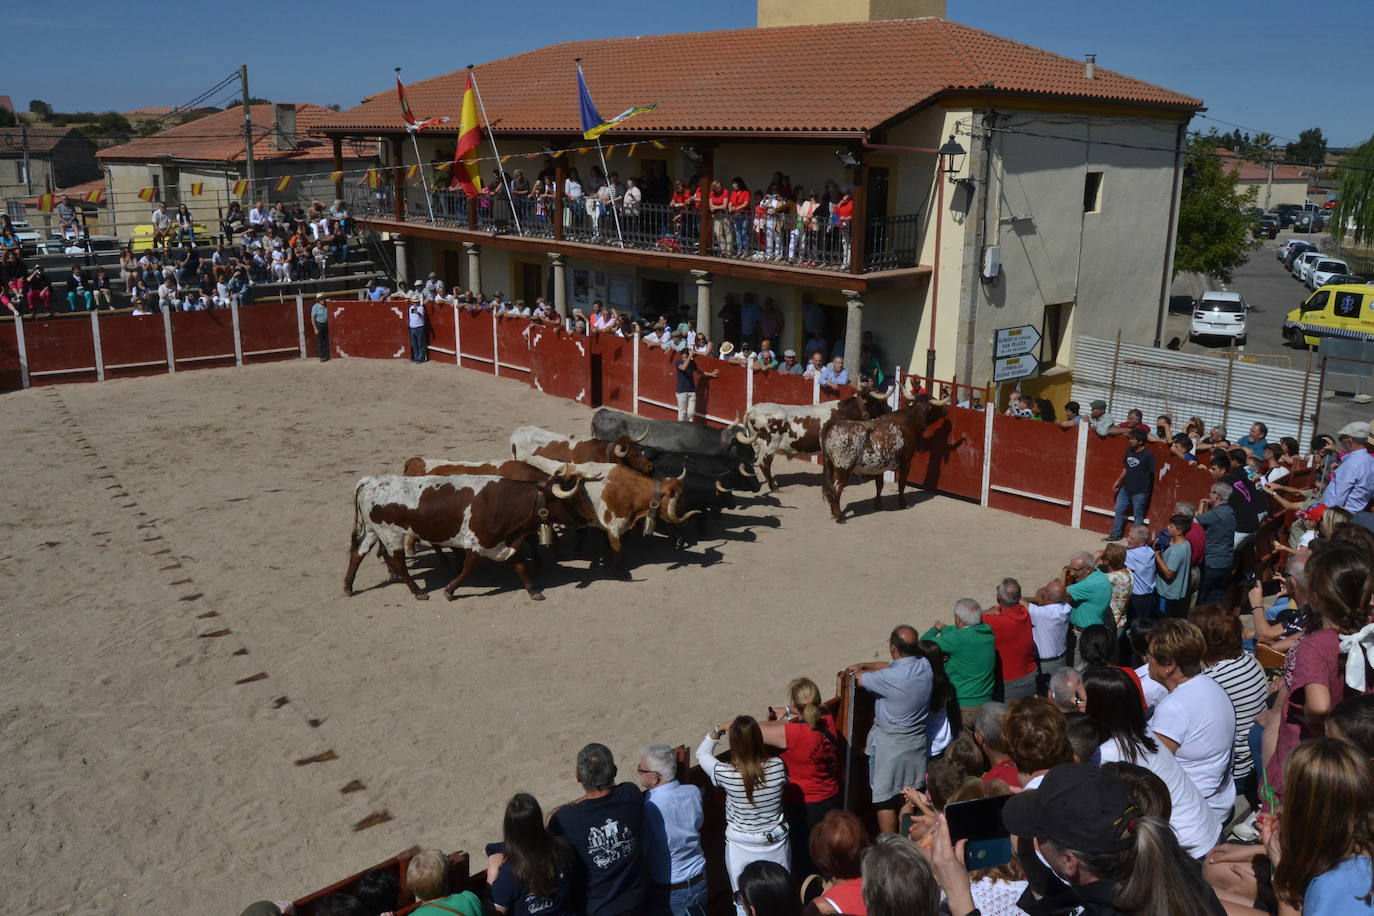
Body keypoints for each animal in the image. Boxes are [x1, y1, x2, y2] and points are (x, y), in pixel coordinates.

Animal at [343, 472, 590, 601]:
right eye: (571, 500)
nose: (588, 518)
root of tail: (371, 480)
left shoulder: (508, 542)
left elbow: (520, 566)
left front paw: (533, 590)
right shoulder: (476, 543)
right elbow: (468, 568)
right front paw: (450, 590)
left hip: (373, 531)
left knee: (358, 553)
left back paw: (348, 587)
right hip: (390, 534)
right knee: (399, 563)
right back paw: (418, 591)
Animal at [736, 390, 895, 491]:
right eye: (880, 401)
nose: (890, 408)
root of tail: (754, 409)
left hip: (757, 445)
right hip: (770, 445)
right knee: (764, 464)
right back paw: (774, 486)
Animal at [818, 395, 950, 521]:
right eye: (935, 404)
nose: (945, 410)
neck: (908, 422)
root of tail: (833, 426)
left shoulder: (879, 466)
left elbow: (879, 485)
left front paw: (877, 504)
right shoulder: (906, 462)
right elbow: (901, 484)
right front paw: (903, 504)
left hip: (830, 465)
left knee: (830, 489)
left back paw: (834, 513)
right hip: (843, 469)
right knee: (836, 489)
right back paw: (839, 516)